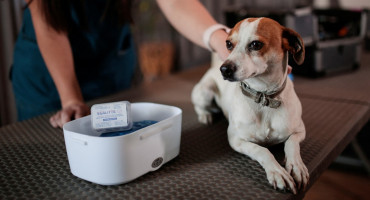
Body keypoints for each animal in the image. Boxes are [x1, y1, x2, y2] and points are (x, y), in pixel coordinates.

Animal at [192, 17, 308, 194]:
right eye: (228, 44)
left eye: (255, 44)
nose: (224, 69)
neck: (263, 98)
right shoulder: (236, 140)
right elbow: (262, 150)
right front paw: (277, 172)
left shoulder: (300, 131)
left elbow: (292, 145)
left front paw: (296, 166)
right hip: (205, 92)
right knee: (200, 106)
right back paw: (205, 115)